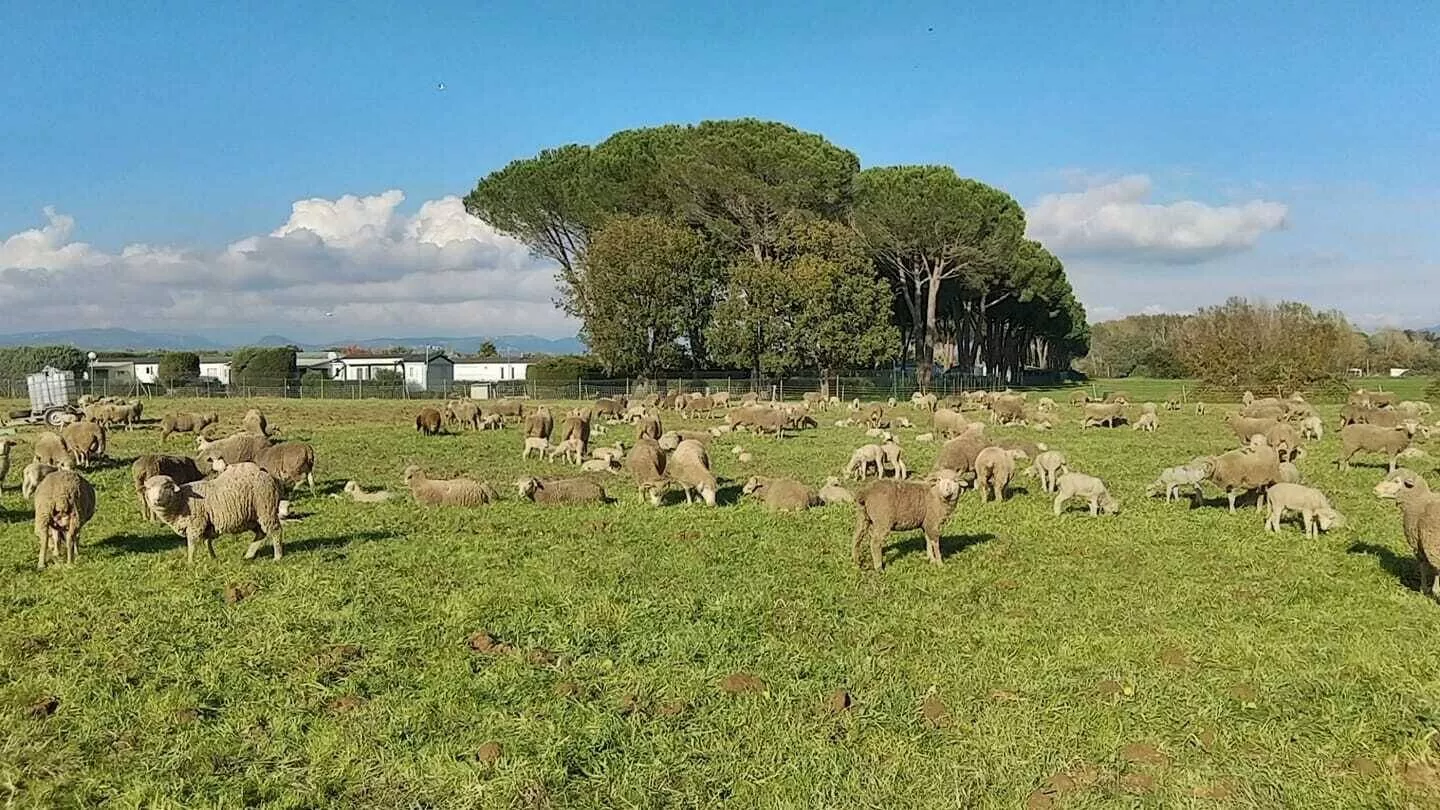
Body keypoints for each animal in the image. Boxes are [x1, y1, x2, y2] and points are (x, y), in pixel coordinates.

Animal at [146, 461, 283, 562]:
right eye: (149, 488)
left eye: (166, 487)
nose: (156, 500)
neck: (181, 500)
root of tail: (265, 473)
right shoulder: (206, 524)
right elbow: (208, 542)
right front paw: (213, 558)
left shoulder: (196, 524)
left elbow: (192, 545)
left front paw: (190, 563)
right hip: (253, 516)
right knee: (261, 533)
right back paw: (248, 555)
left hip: (266, 508)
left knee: (275, 531)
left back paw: (277, 557)